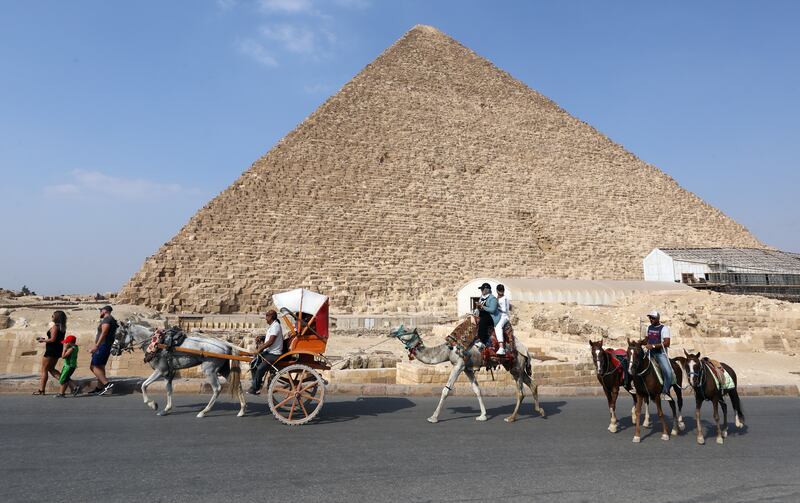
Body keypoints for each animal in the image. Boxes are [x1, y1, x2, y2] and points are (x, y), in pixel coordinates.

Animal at [111, 320, 245, 420]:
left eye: (118, 334)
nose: (112, 350)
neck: (157, 343)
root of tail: (226, 345)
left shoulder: (160, 370)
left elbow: (143, 385)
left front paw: (152, 404)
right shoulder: (168, 373)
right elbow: (169, 390)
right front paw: (166, 409)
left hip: (209, 370)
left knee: (217, 388)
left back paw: (204, 411)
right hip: (223, 369)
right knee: (237, 385)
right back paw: (242, 410)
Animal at [388, 316, 544, 424]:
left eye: (406, 330)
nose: (391, 332)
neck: (448, 349)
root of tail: (526, 350)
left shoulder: (459, 364)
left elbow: (445, 390)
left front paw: (433, 417)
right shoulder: (467, 368)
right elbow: (477, 390)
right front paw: (482, 416)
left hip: (517, 366)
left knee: (521, 392)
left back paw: (511, 418)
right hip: (514, 367)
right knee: (532, 384)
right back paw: (540, 411)